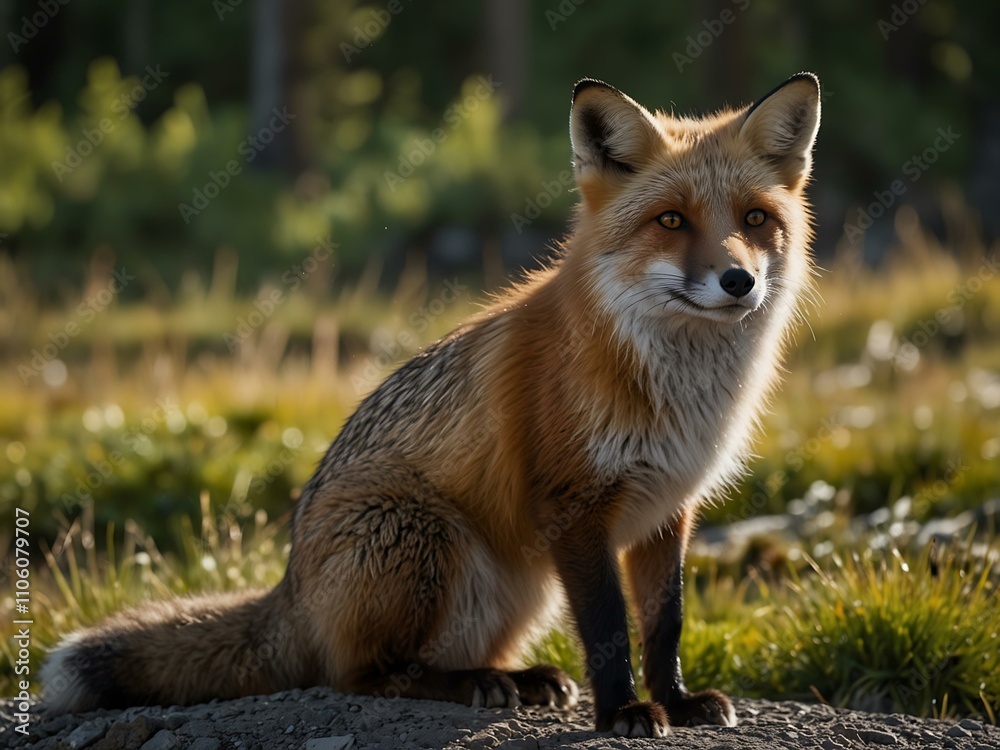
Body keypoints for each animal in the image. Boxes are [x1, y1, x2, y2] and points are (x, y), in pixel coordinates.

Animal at [41, 73, 821, 737]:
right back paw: (470, 685)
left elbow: (665, 624)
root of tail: (290, 589)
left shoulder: (667, 510)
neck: (674, 388)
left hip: (520, 586)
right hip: (420, 535)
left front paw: (677, 702)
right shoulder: (574, 505)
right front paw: (624, 712)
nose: (739, 280)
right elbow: (606, 629)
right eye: (671, 221)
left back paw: (517, 678)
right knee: (360, 674)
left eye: (755, 218)